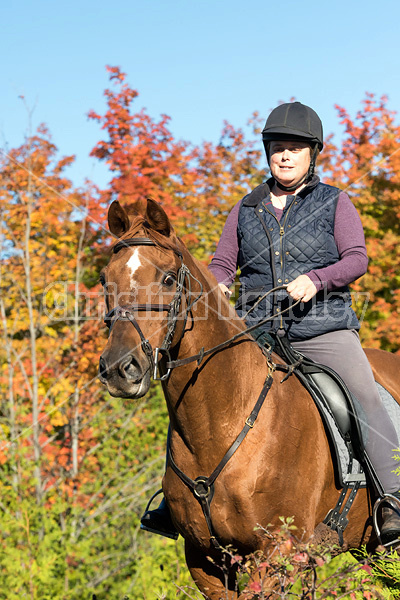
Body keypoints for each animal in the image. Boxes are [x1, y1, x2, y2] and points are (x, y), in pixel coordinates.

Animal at [98, 199, 398, 596]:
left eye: (167, 279)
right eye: (105, 279)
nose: (120, 369)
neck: (219, 422)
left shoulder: (274, 554)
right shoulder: (205, 561)